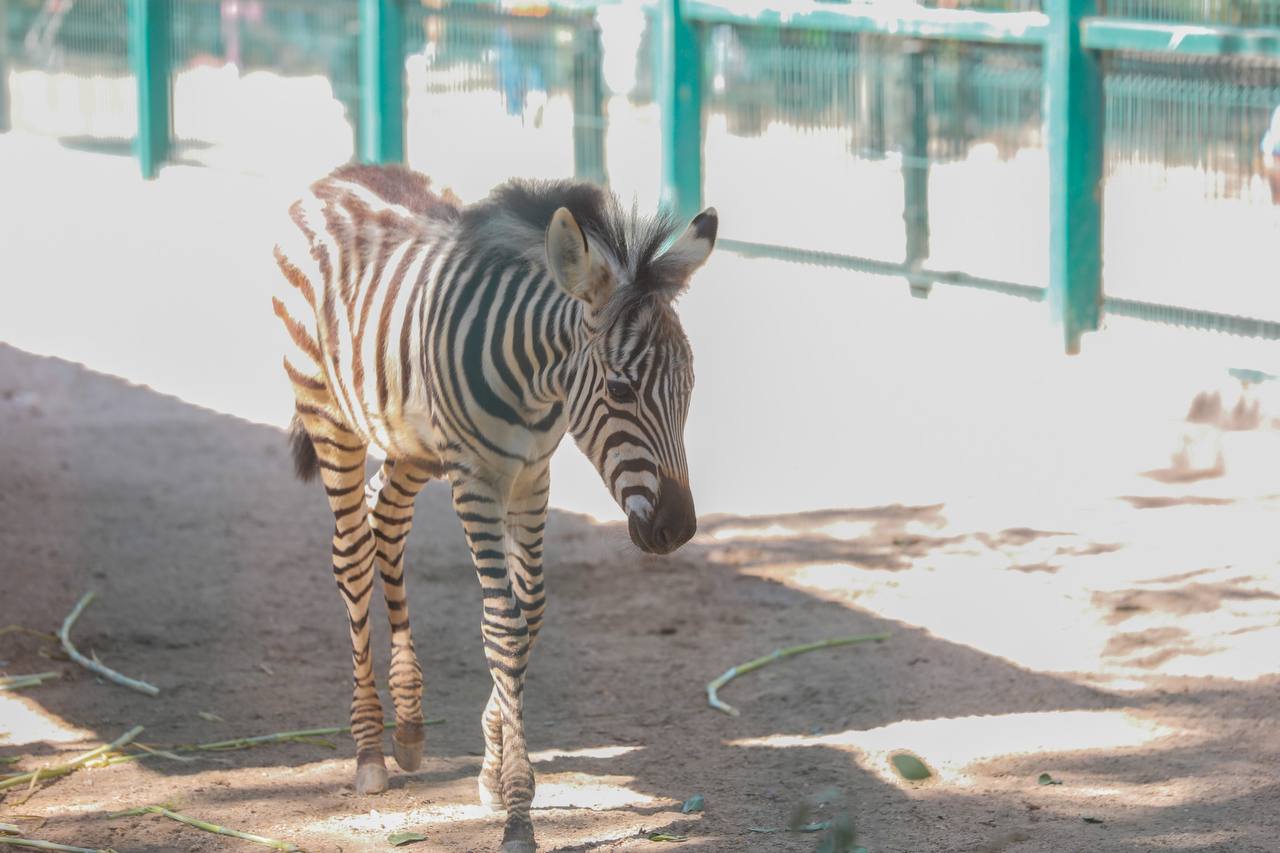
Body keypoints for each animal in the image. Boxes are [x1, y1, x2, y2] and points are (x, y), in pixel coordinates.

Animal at [271, 164, 716, 853]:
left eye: (689, 386)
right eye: (620, 389)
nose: (678, 529)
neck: (536, 381)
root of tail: (342, 174)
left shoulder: (532, 475)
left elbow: (528, 610)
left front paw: (489, 769)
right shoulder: (477, 479)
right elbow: (502, 622)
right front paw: (517, 811)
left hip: (411, 442)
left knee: (384, 522)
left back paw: (410, 729)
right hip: (329, 417)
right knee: (350, 555)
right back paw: (370, 750)